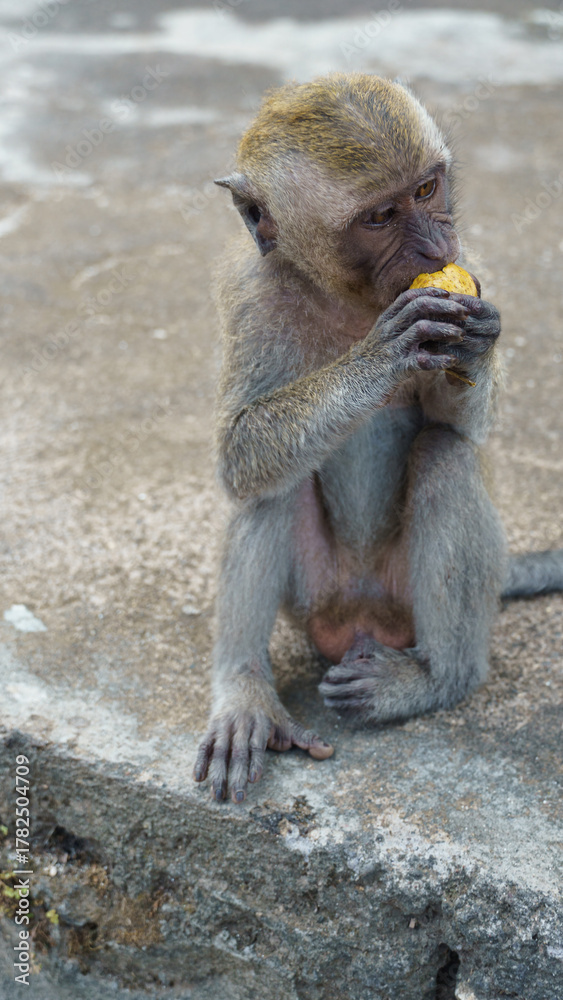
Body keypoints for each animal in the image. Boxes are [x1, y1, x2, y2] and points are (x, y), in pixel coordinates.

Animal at [193, 73, 563, 804]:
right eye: (379, 218)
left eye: (425, 191)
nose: (434, 249)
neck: (353, 300)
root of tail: (361, 619)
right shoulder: (251, 297)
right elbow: (239, 453)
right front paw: (380, 356)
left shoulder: (470, 262)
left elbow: (458, 428)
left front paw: (476, 343)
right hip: (315, 599)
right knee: (270, 488)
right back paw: (245, 696)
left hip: (405, 604)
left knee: (446, 458)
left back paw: (435, 681)